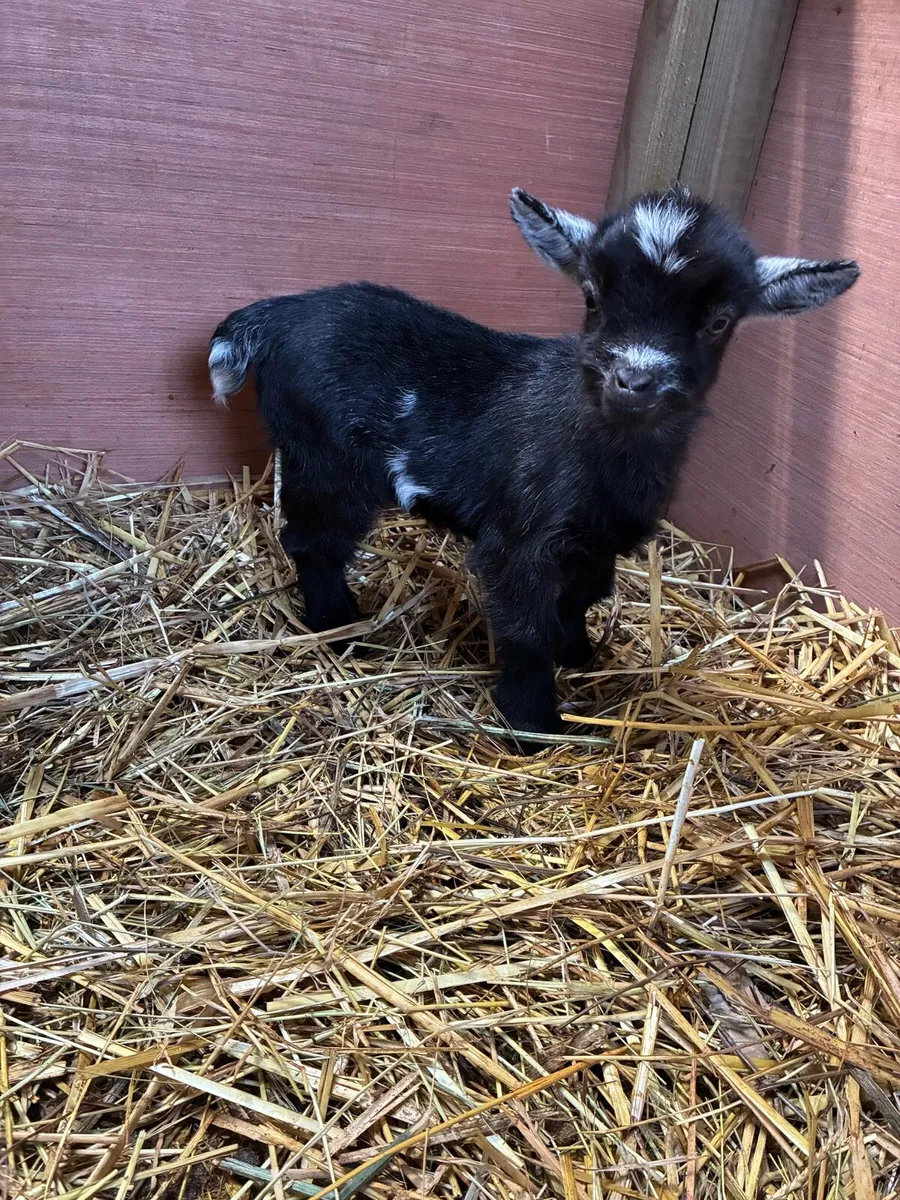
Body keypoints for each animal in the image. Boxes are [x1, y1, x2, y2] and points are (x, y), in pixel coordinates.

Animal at [208, 187, 859, 749]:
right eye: (592, 295)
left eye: (720, 320)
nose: (634, 381)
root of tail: (276, 316)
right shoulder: (521, 541)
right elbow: (525, 627)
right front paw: (534, 725)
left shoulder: (595, 539)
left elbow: (581, 597)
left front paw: (581, 653)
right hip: (325, 458)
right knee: (314, 539)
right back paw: (337, 624)